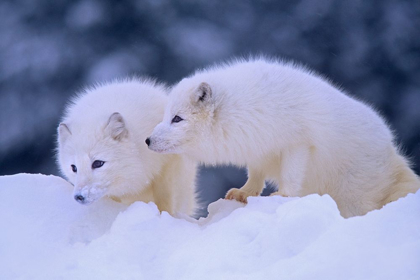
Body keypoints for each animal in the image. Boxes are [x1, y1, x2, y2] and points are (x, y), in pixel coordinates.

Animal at [146, 57, 418, 219]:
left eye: (177, 119)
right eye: (166, 116)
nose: (147, 140)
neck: (246, 107)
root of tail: (392, 151)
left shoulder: (297, 143)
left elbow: (291, 175)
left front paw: (282, 195)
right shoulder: (258, 146)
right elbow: (255, 175)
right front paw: (245, 193)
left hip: (354, 199)